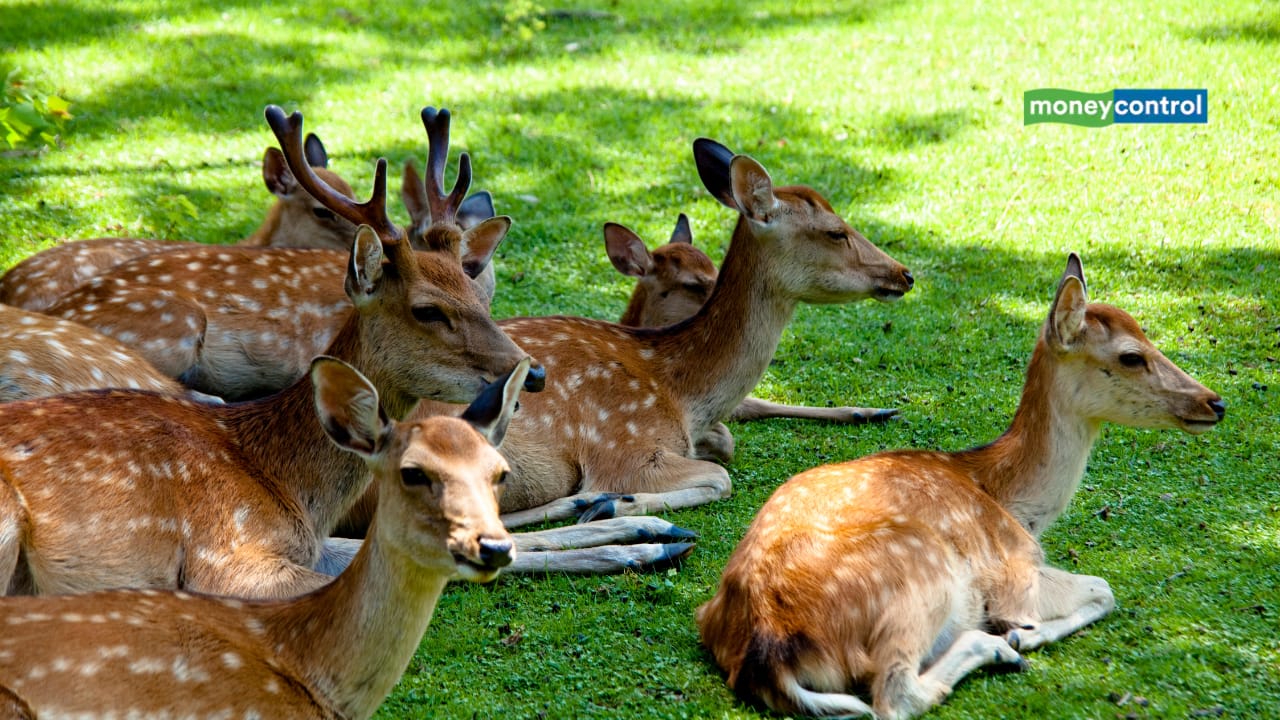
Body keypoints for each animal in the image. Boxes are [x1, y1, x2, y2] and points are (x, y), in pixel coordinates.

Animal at [694, 253, 1226, 720]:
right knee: (894, 696)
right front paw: (1023, 633)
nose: (1215, 402)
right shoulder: (1014, 572)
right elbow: (1103, 587)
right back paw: (996, 647)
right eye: (1131, 356)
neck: (1013, 502)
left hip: (709, 612)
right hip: (922, 575)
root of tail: (766, 651)